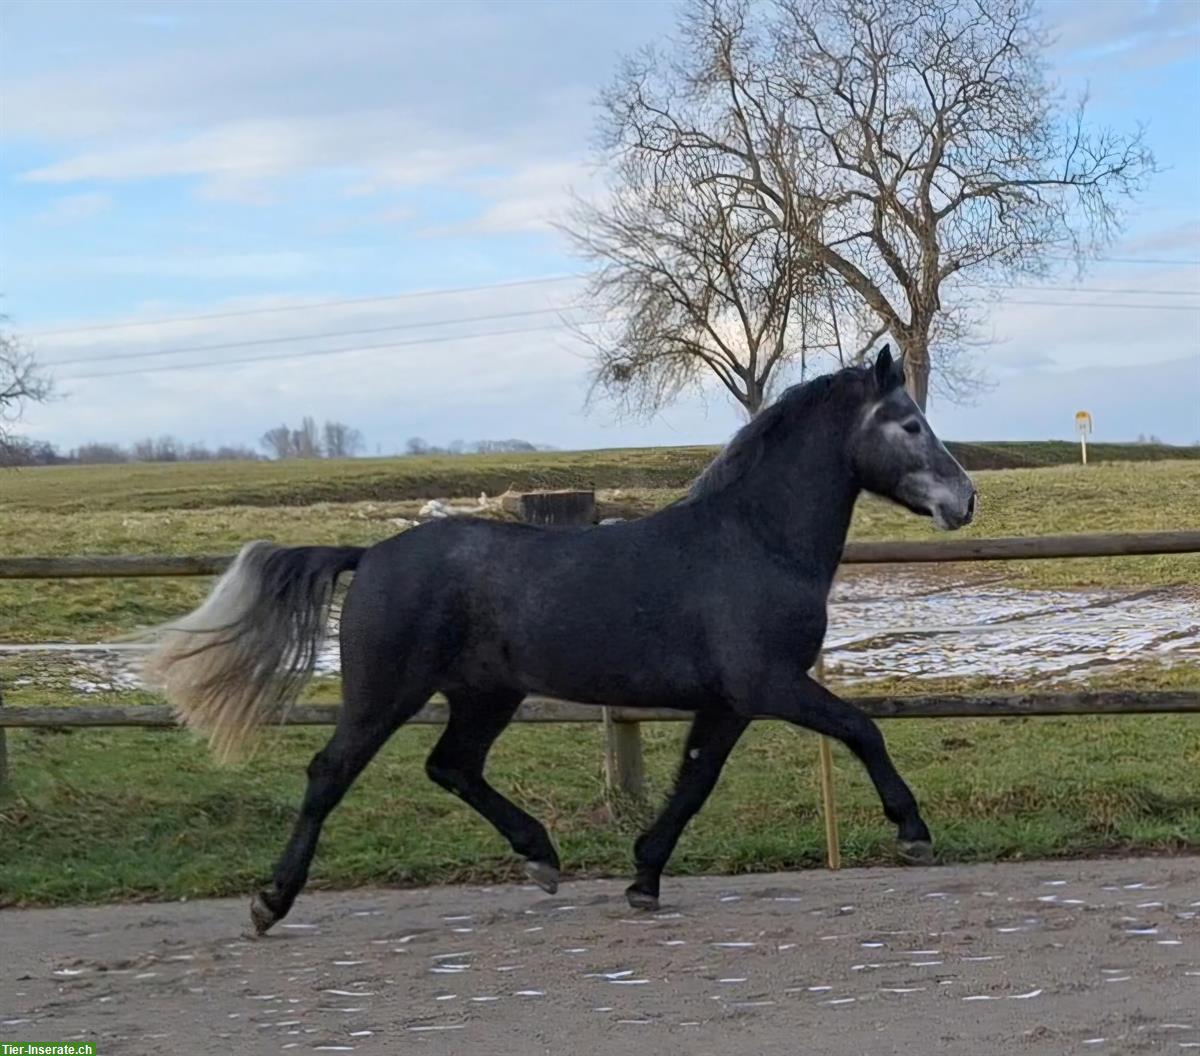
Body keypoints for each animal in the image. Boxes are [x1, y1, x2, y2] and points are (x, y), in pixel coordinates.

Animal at [142, 345, 976, 934]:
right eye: (909, 424)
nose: (964, 499)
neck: (752, 542)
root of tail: (371, 554)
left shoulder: (727, 702)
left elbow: (693, 783)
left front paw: (642, 880)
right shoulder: (767, 685)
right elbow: (861, 729)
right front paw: (913, 832)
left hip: (486, 695)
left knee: (451, 767)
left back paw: (540, 858)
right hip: (385, 693)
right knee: (329, 774)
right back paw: (270, 901)